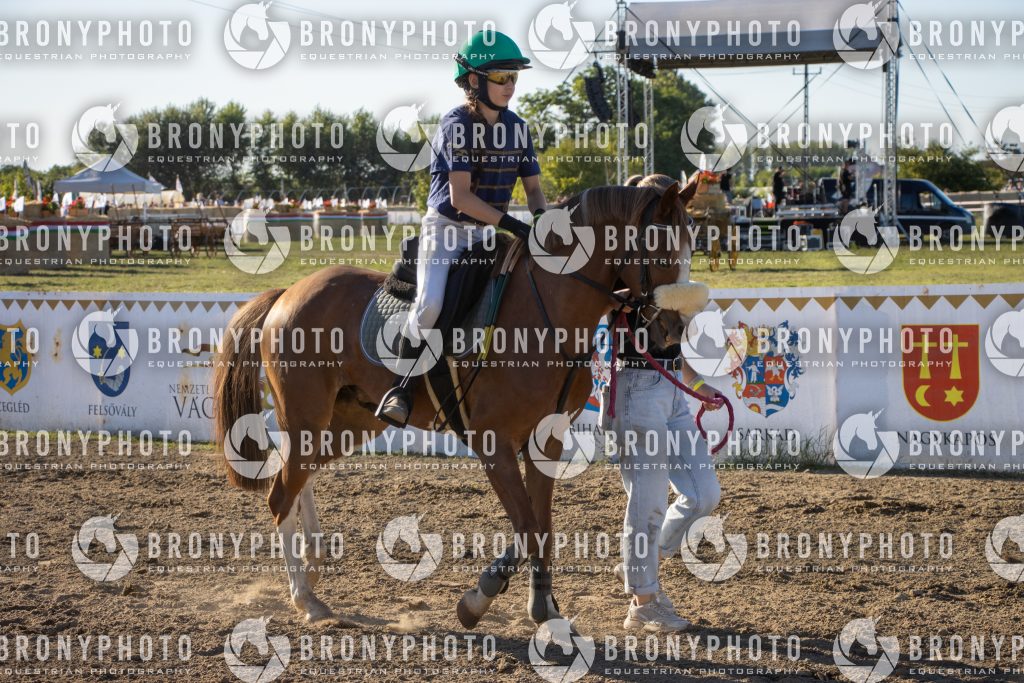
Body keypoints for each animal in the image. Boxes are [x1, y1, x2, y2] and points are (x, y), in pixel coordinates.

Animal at [212, 178, 700, 626]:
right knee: (280, 493)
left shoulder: (545, 442)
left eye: (691, 246)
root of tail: (287, 293)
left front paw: (541, 605)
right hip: (308, 417)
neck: (548, 314)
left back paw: (313, 562)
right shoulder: (494, 443)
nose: (673, 331)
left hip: (350, 421)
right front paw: (481, 599)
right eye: (660, 250)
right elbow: (528, 525)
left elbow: (540, 525)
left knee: (299, 476)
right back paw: (304, 597)